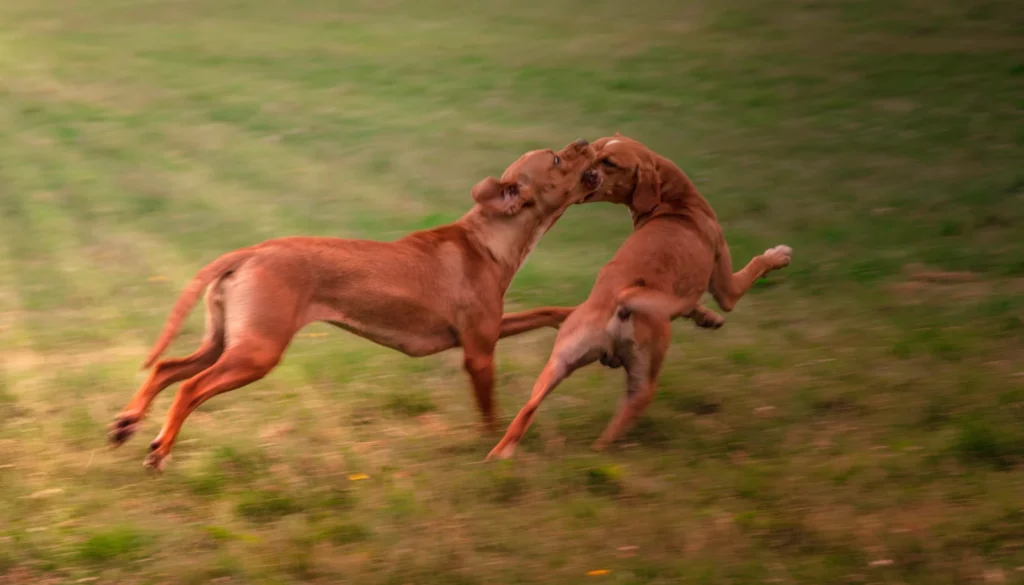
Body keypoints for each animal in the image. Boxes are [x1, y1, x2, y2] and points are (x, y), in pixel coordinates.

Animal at [114, 138, 598, 471]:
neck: (488, 239)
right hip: (256, 353)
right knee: (189, 388)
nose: (584, 142)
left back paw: (128, 422)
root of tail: (251, 251)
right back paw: (159, 449)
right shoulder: (479, 352)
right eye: (557, 159)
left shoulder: (489, 328)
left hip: (225, 343)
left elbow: (544, 313)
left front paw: (577, 315)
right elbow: (491, 414)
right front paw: (493, 449)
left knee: (166, 369)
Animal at [487, 135, 790, 461]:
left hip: (556, 366)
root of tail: (617, 304)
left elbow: (694, 306)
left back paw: (499, 455)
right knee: (611, 432)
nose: (586, 168)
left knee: (525, 414)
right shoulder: (726, 287)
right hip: (644, 381)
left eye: (608, 160)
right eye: (596, 153)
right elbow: (755, 266)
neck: (675, 204)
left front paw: (707, 317)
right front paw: (778, 255)